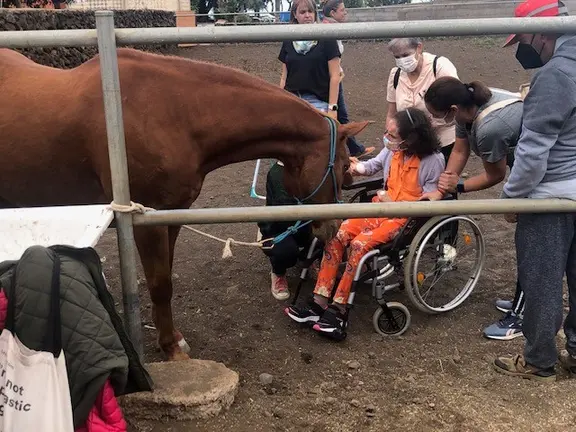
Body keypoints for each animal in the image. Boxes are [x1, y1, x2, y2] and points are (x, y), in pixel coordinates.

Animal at [0, 47, 368, 362]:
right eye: (343, 166)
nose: (333, 228)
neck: (173, 113)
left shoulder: (171, 216)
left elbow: (166, 278)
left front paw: (172, 338)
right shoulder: (147, 222)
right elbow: (160, 283)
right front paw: (172, 350)